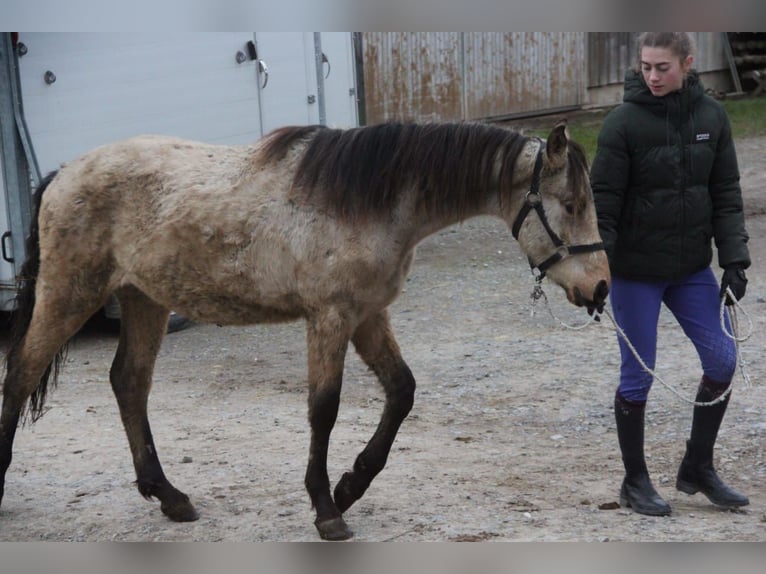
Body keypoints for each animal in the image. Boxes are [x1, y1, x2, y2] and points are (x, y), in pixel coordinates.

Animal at [1, 119, 612, 544]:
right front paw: (326, 509)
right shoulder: (331, 317)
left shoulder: (367, 316)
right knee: (21, 373)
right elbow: (324, 408)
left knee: (129, 383)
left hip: (144, 299)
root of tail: (61, 174)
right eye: (571, 204)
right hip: (70, 294)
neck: (373, 201)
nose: (602, 288)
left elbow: (402, 392)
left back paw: (169, 496)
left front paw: (351, 484)